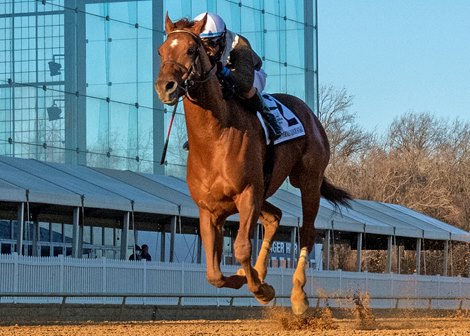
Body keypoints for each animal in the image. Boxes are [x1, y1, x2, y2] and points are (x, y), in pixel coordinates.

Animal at [154, 15, 348, 316]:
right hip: (265, 191)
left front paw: (261, 288)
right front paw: (249, 277)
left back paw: (297, 295)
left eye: (191, 50)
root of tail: (310, 115)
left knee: (306, 232)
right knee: (275, 216)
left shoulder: (247, 195)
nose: (166, 86)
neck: (215, 138)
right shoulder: (209, 209)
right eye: (161, 51)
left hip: (308, 181)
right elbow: (213, 273)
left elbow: (242, 247)